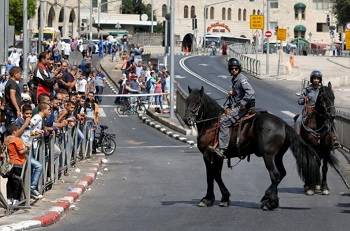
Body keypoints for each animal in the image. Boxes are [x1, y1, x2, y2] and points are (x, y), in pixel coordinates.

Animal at [185, 86, 322, 209]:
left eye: (197, 102)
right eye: (187, 101)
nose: (187, 120)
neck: (212, 124)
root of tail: (283, 124)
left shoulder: (208, 155)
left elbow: (212, 176)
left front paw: (208, 199)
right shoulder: (218, 157)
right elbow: (216, 175)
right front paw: (223, 198)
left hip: (268, 156)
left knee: (275, 175)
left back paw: (269, 202)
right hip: (278, 156)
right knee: (282, 173)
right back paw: (271, 199)